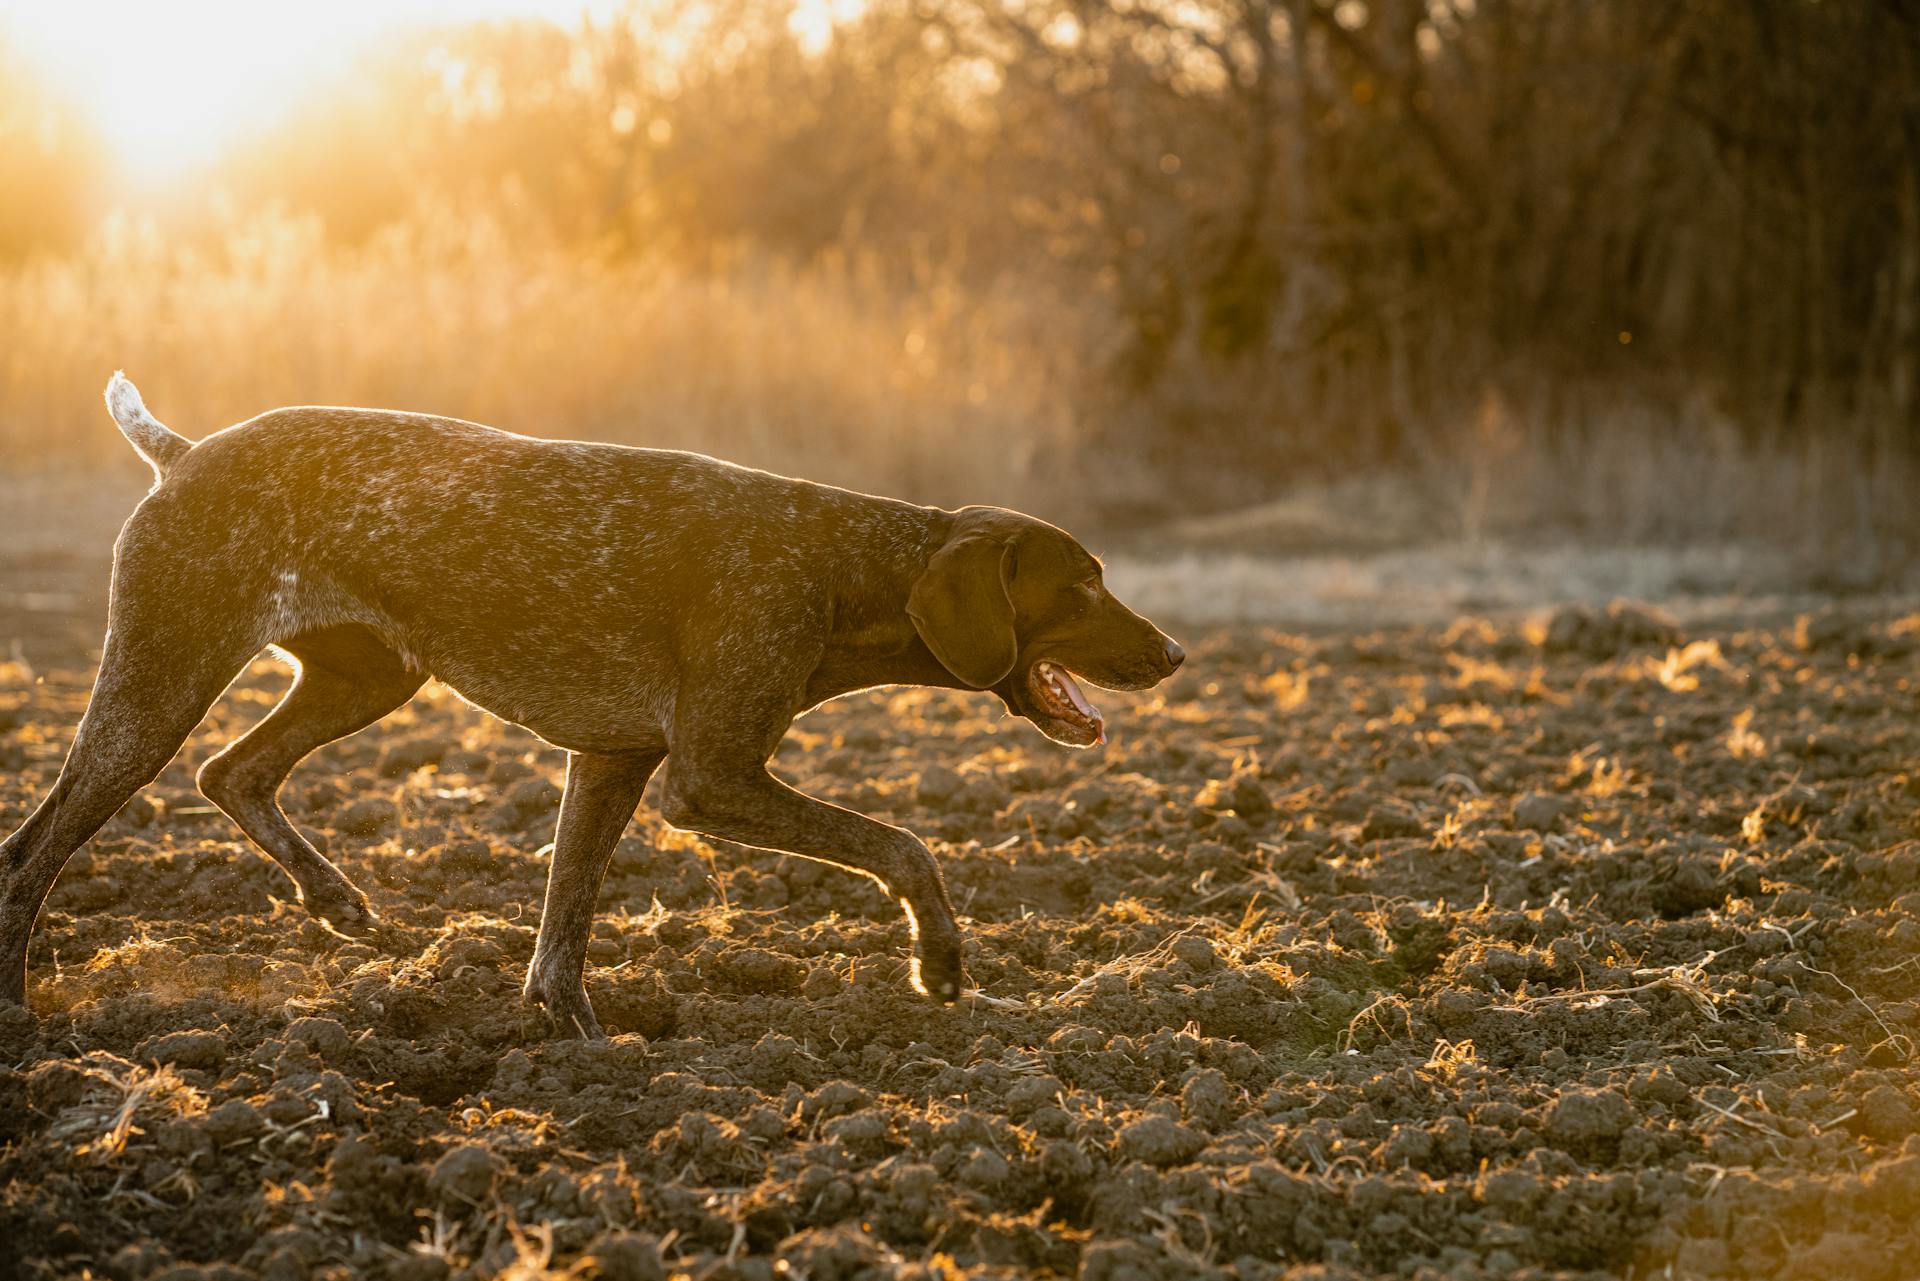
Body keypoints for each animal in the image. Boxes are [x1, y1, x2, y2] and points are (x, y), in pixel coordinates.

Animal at [0, 376, 1182, 1037]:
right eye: (1081, 586)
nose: (1172, 652)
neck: (844, 563)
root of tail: (184, 455)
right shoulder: (710, 779)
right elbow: (904, 844)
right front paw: (939, 963)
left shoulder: (613, 762)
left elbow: (563, 921)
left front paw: (576, 1041)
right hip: (157, 687)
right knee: (33, 852)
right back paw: (18, 1011)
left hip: (368, 675)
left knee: (232, 771)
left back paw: (335, 899)